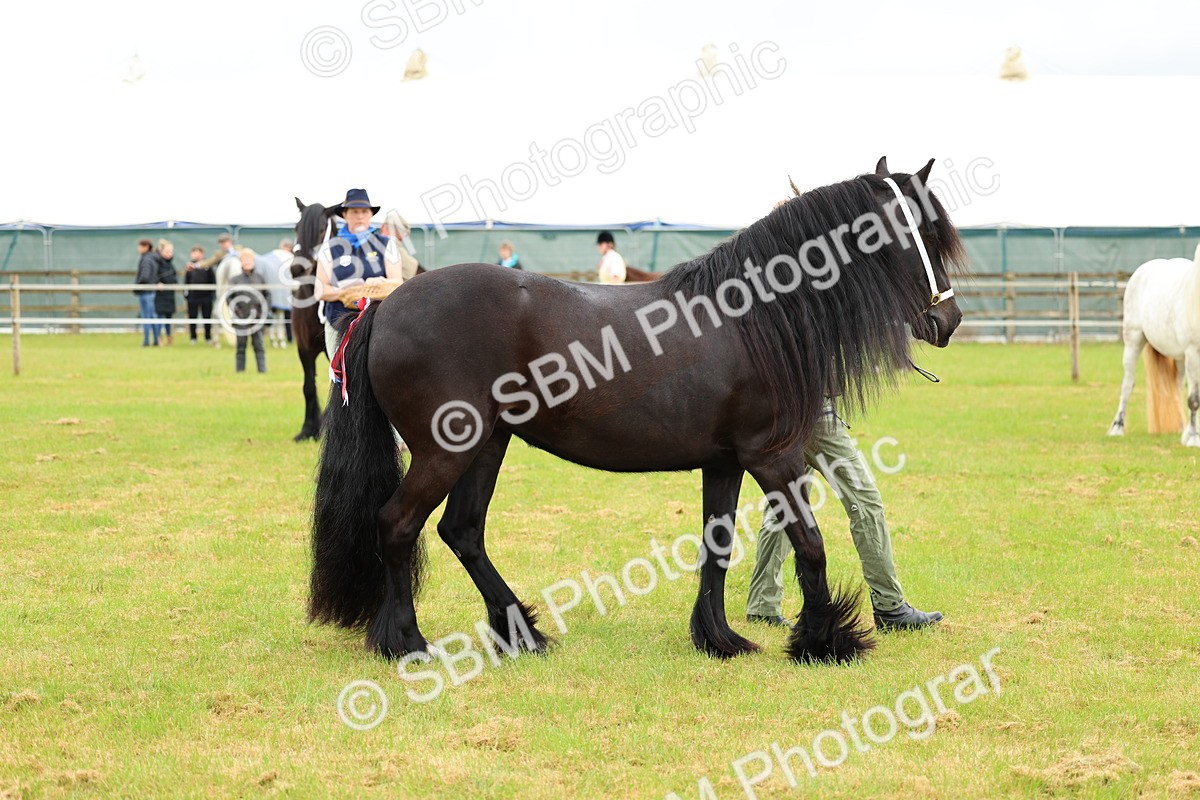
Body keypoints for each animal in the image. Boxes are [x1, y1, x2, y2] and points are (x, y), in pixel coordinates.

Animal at [308, 158, 967, 665]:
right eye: (919, 233)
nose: (948, 320)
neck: (754, 319)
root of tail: (385, 307)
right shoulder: (773, 457)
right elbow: (810, 543)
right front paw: (826, 641)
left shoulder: (726, 462)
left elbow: (717, 545)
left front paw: (720, 639)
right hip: (446, 450)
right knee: (398, 525)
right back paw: (408, 643)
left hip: (487, 445)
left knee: (462, 532)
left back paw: (522, 633)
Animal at [1107, 245, 1200, 446]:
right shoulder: (1193, 353)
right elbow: (1194, 399)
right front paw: (1194, 438)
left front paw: (1190, 434)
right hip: (1133, 340)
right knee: (1127, 384)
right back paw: (1117, 427)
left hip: (1179, 358)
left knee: (1177, 388)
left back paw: (1182, 428)